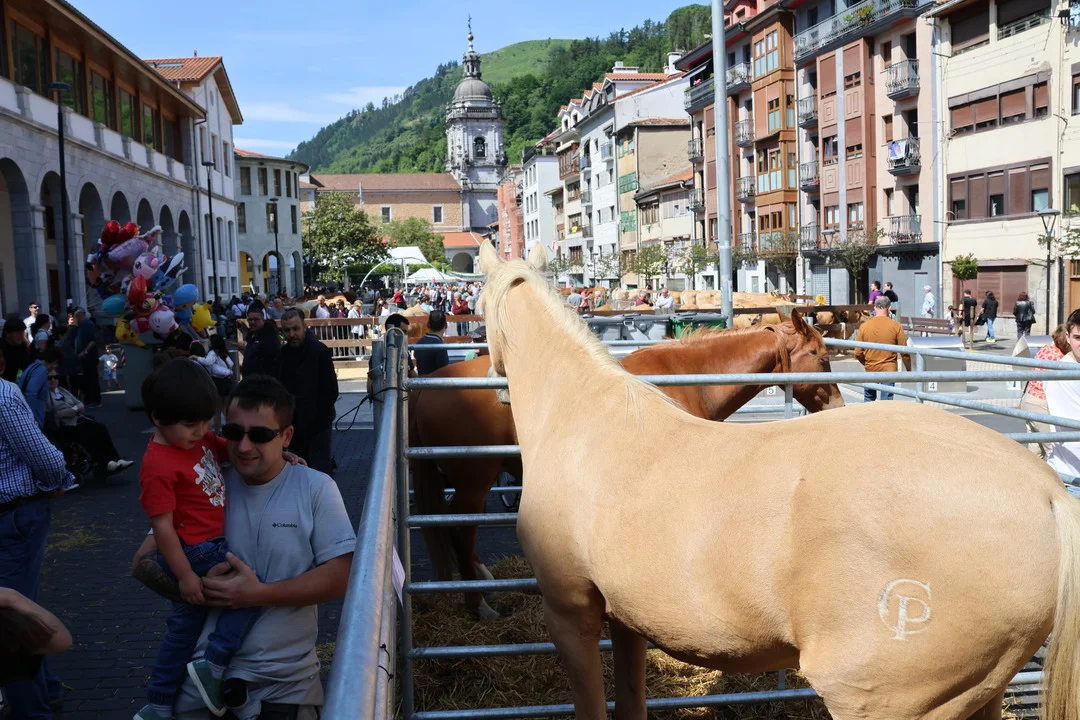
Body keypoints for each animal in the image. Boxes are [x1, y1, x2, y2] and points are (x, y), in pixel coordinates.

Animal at [410, 307, 844, 620]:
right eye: (822, 358)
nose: (839, 405)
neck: (687, 379)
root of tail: (426, 390)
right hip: (474, 480)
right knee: (460, 529)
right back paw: (479, 604)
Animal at [477, 238, 1080, 720]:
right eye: (818, 356)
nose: (495, 389)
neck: (586, 416)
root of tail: (1048, 495)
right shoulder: (626, 619)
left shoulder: (570, 613)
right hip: (981, 696)